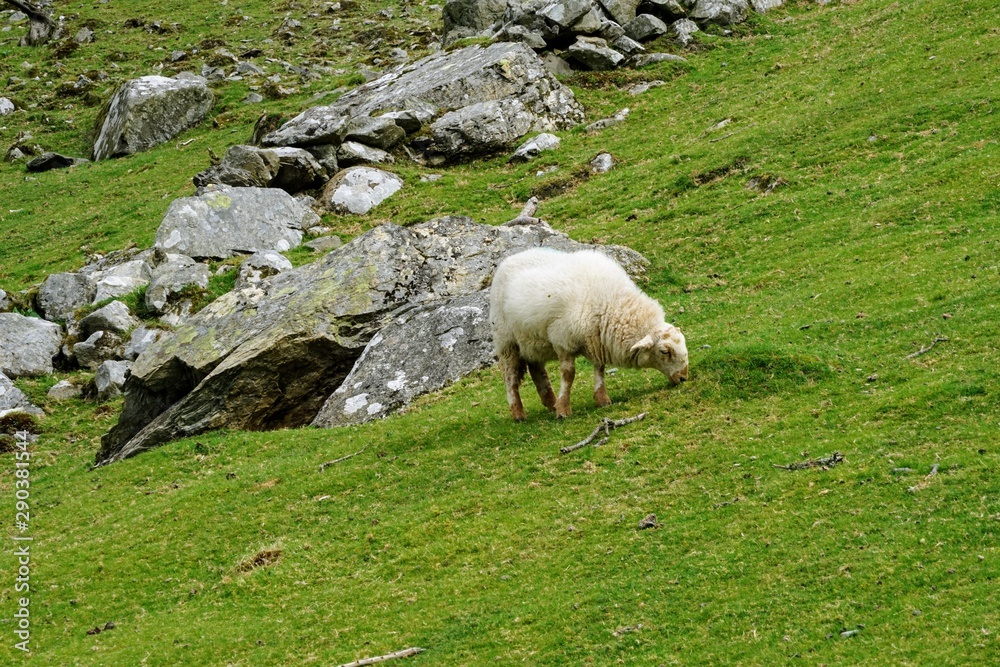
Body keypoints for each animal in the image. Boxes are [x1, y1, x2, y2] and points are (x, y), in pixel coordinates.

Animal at [490, 248, 688, 421]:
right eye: (664, 351)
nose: (683, 378)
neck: (608, 302)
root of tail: (512, 257)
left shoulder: (596, 339)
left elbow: (600, 368)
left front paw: (602, 399)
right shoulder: (562, 339)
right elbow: (568, 374)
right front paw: (563, 409)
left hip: (533, 341)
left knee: (537, 370)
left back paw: (550, 402)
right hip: (506, 340)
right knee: (510, 376)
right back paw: (518, 413)